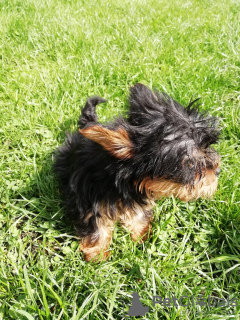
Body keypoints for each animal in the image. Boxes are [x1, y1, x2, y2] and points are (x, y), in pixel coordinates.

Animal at [54, 84, 221, 262]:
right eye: (191, 164)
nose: (217, 170)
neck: (118, 178)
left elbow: (137, 214)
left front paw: (140, 235)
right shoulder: (89, 199)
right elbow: (96, 226)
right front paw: (97, 254)